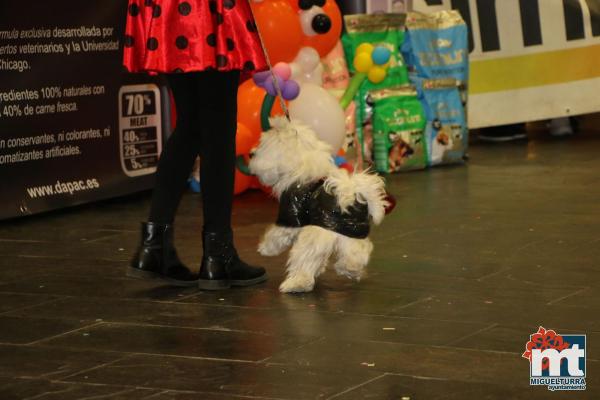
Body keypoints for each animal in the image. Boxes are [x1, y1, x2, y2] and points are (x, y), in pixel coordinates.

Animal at [248, 117, 390, 292]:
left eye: (261, 146)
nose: (250, 153)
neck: (301, 165)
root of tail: (349, 192)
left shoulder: (291, 214)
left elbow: (278, 234)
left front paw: (266, 249)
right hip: (352, 231)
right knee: (358, 252)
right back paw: (350, 269)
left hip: (316, 237)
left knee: (304, 261)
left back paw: (296, 284)